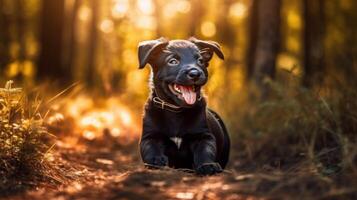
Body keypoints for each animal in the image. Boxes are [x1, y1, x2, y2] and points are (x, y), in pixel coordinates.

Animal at [138, 37, 229, 175]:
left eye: (200, 61)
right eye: (172, 61)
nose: (195, 73)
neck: (176, 111)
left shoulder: (203, 135)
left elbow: (206, 150)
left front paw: (207, 165)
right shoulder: (150, 135)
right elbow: (150, 148)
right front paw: (156, 160)